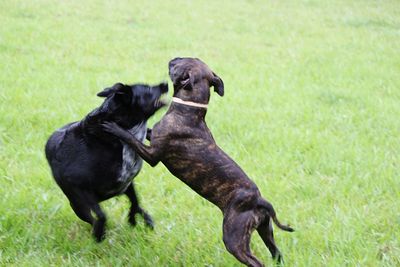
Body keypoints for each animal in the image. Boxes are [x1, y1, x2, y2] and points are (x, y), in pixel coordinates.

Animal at [45, 80, 167, 242]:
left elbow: (135, 202)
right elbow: (102, 215)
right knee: (91, 217)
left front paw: (133, 219)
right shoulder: (80, 188)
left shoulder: (127, 183)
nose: (165, 84)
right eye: (147, 88)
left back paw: (146, 219)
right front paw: (100, 232)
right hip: (76, 204)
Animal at [103, 57, 294, 266]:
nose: (173, 58)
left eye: (181, 62)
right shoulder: (153, 139)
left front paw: (114, 127)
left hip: (234, 239)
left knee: (256, 261)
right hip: (265, 229)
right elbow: (147, 132)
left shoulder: (152, 154)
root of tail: (259, 200)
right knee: (276, 252)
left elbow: (132, 138)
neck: (189, 109)